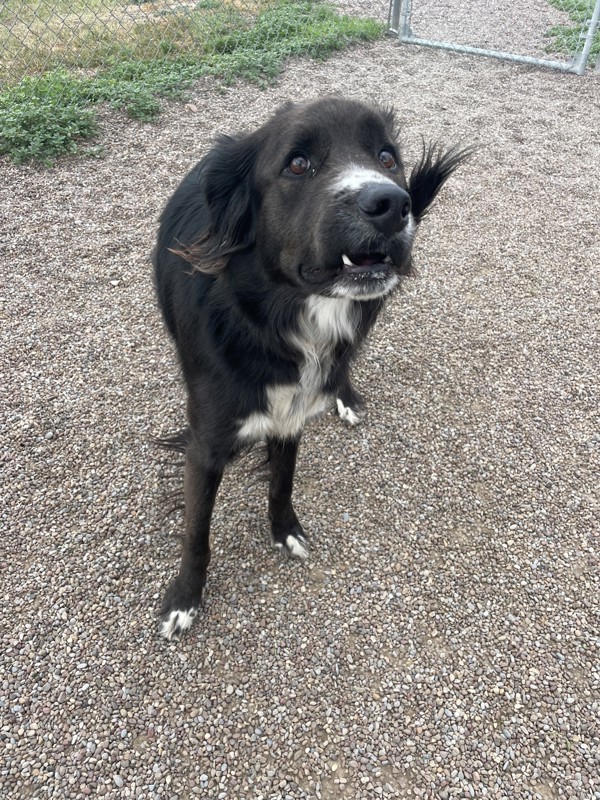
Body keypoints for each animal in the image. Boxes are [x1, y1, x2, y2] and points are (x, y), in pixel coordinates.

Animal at [151, 97, 468, 640]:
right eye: (297, 164)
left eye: (387, 156)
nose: (392, 204)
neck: (275, 323)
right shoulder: (207, 441)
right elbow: (197, 530)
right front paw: (184, 598)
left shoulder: (290, 417)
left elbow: (282, 483)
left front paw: (285, 532)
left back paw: (344, 393)